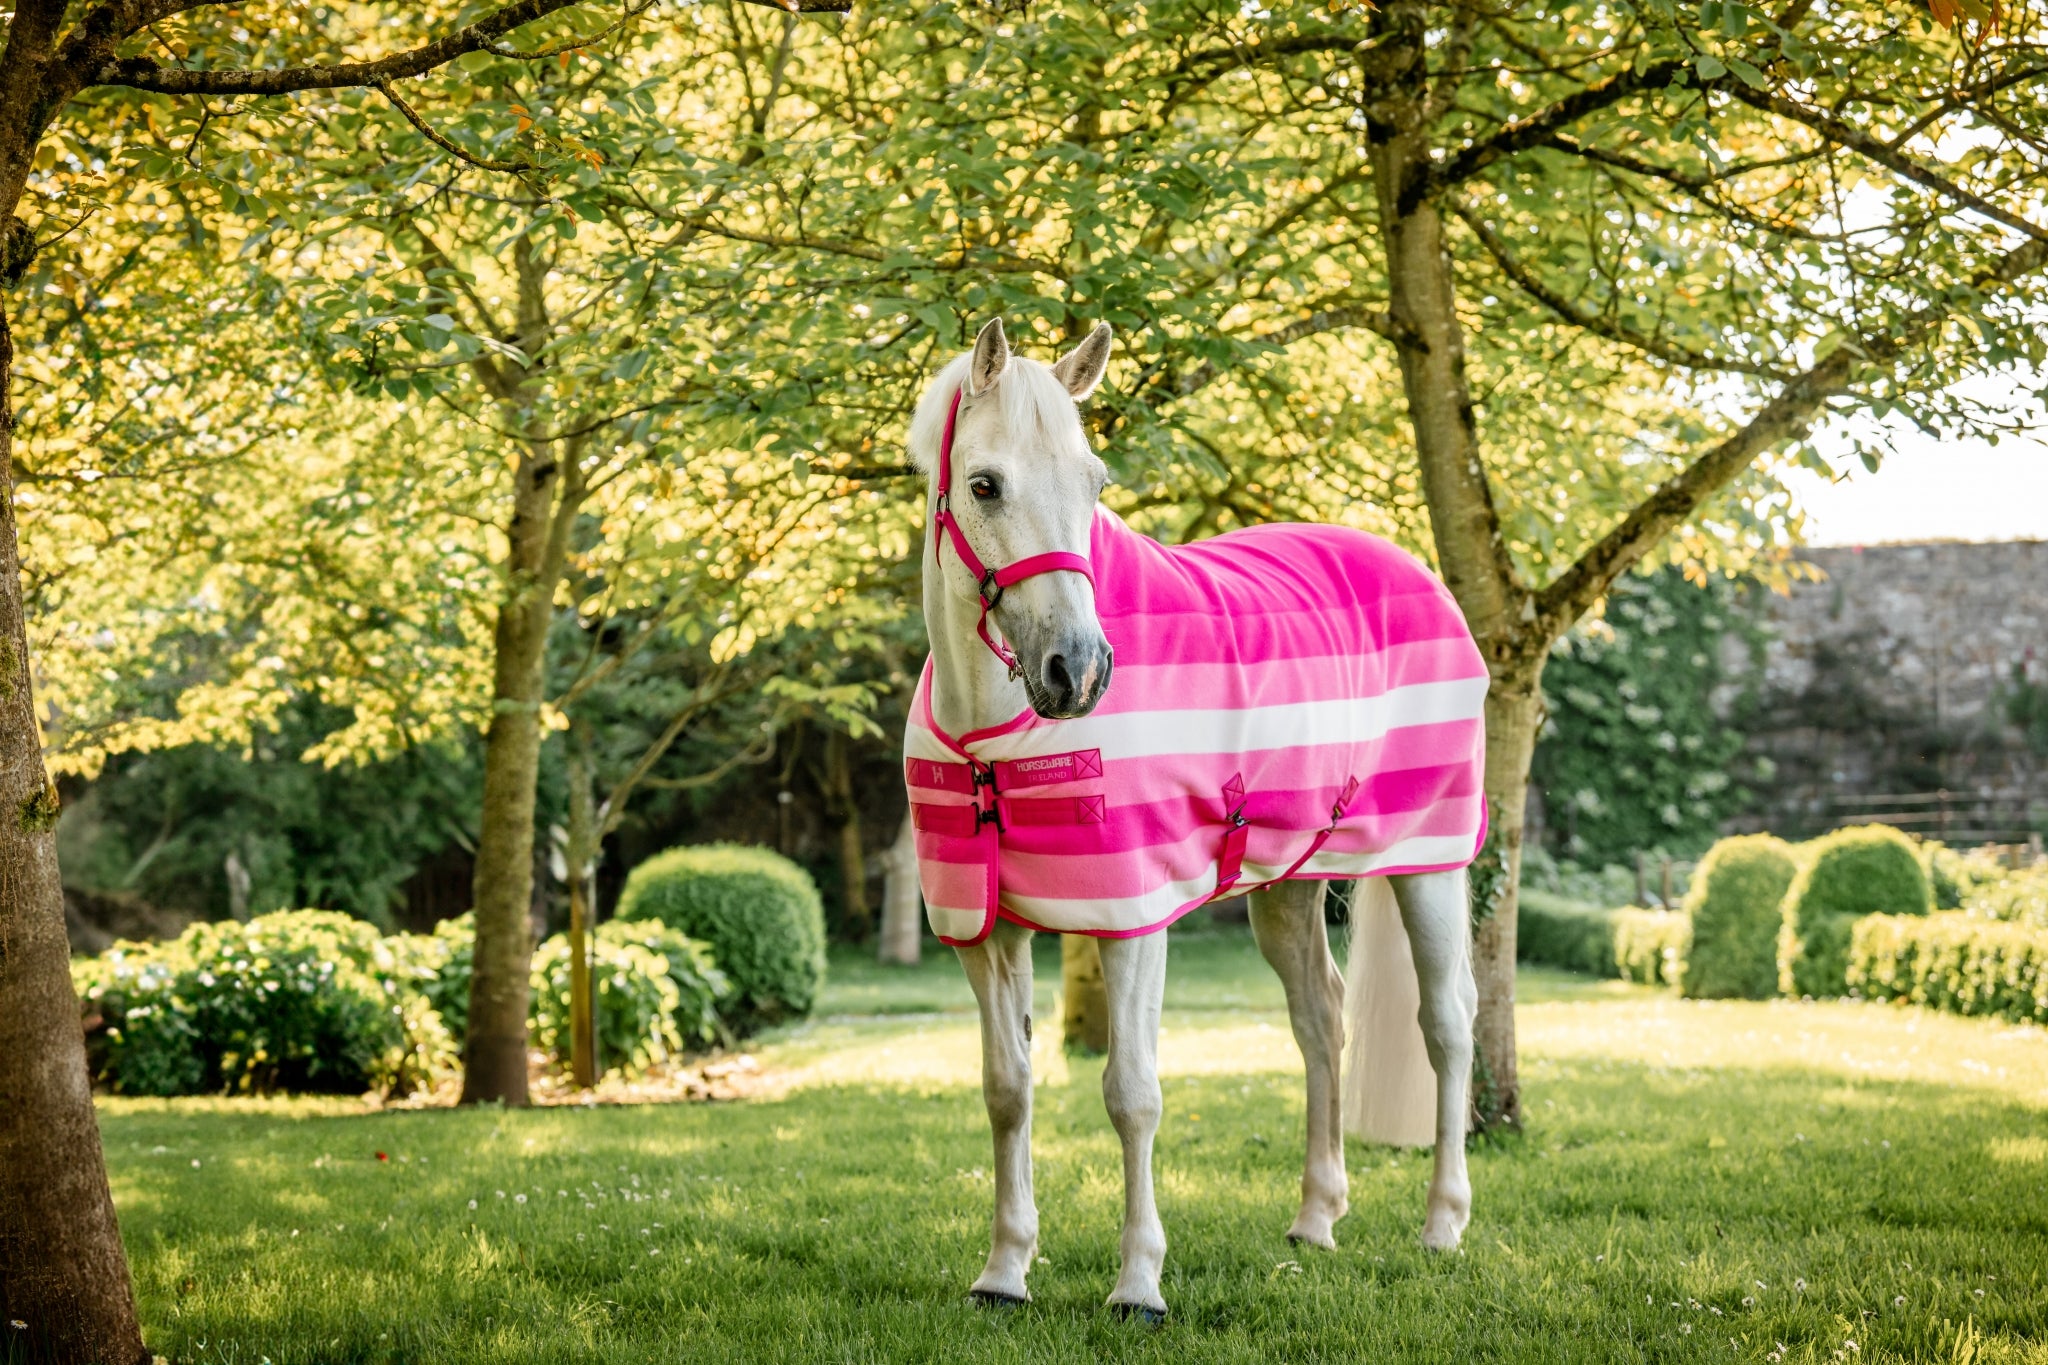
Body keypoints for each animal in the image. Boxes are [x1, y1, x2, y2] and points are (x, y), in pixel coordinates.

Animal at [901, 317, 1483, 1321]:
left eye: (1095, 481)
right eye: (984, 485)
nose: (1079, 670)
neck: (993, 738)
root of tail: (1415, 567)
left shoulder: (1132, 918)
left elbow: (1132, 1092)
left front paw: (1139, 1283)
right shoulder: (986, 930)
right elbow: (1007, 1090)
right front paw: (1004, 1270)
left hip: (1432, 865)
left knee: (1447, 1023)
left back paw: (1443, 1222)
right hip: (1287, 886)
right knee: (1321, 1020)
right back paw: (1315, 1218)